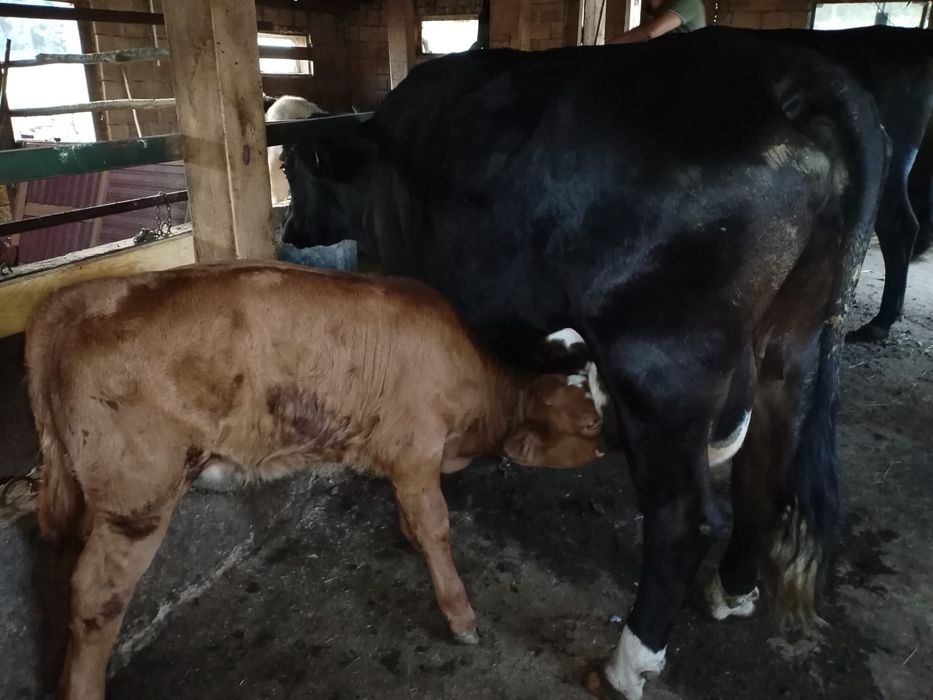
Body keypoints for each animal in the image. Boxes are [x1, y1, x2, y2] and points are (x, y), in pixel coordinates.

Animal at [27, 261, 603, 699]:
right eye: (592, 422)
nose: (608, 450)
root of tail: (73, 297)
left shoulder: (401, 457)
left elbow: (412, 514)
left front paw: (408, 537)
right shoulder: (418, 445)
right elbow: (437, 526)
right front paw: (460, 616)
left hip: (95, 497)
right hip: (137, 499)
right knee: (95, 597)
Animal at [281, 28, 888, 699]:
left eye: (288, 169)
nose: (288, 227)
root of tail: (792, 73)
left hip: (661, 365)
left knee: (684, 518)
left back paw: (626, 665)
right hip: (793, 339)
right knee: (767, 468)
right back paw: (731, 591)